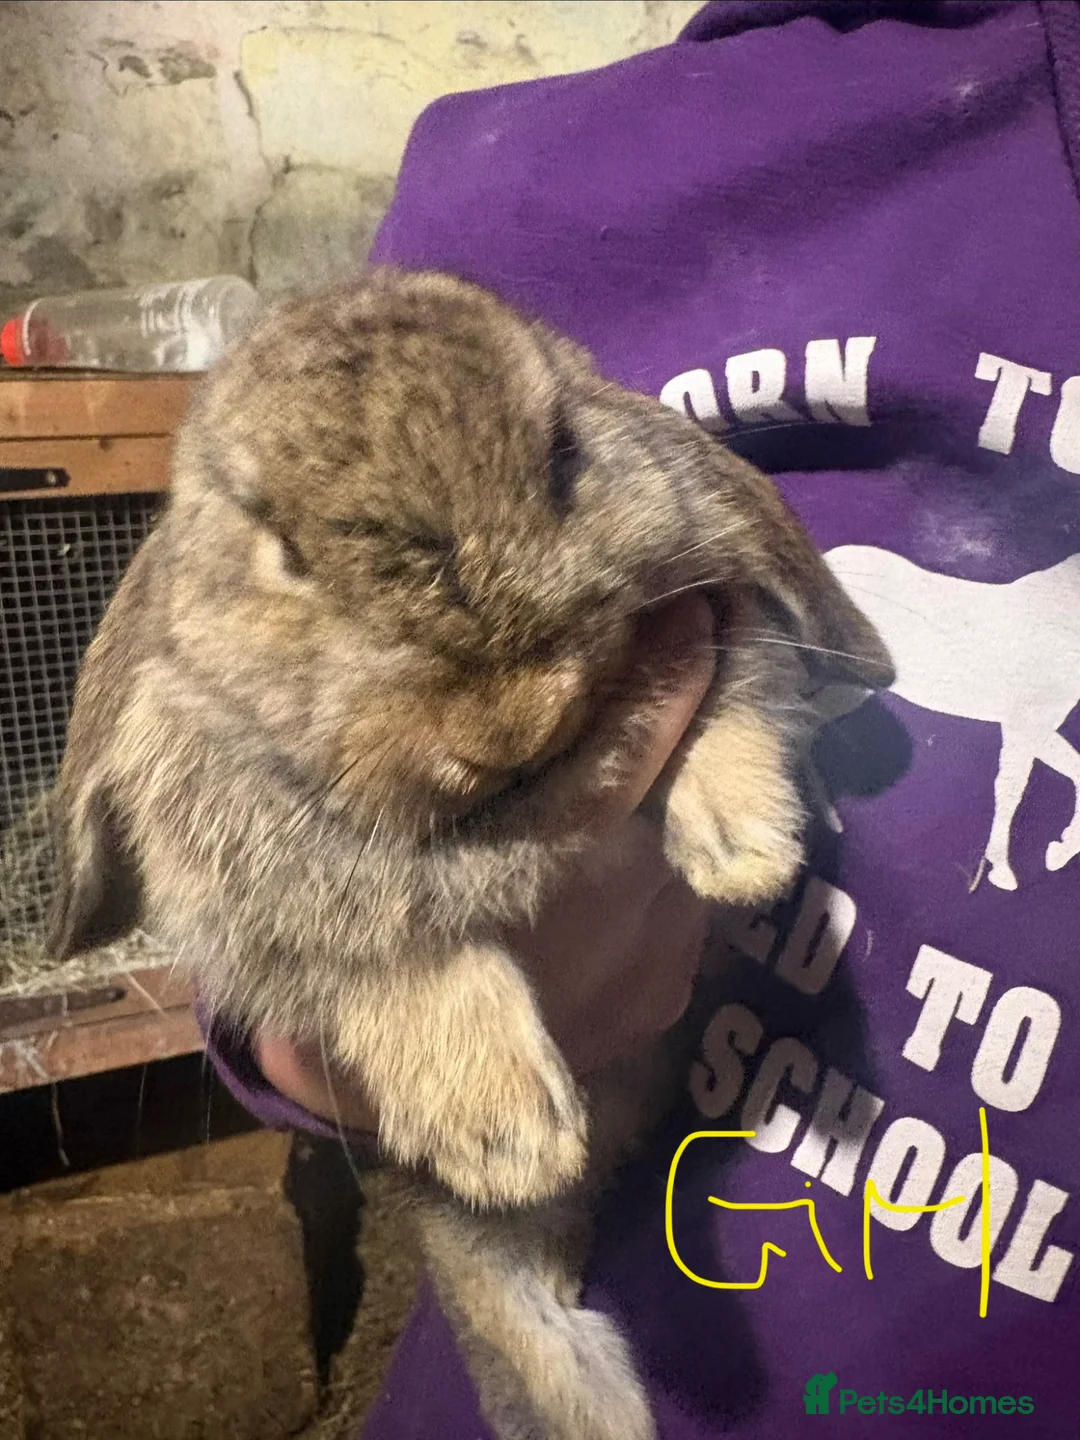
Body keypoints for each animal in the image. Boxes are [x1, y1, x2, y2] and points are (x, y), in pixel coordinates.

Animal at [47, 268, 893, 1440]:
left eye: (565, 456)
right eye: (283, 551)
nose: (511, 722)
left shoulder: (716, 632)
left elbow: (731, 710)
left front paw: (745, 853)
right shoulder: (272, 907)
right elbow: (391, 961)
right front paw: (507, 1132)